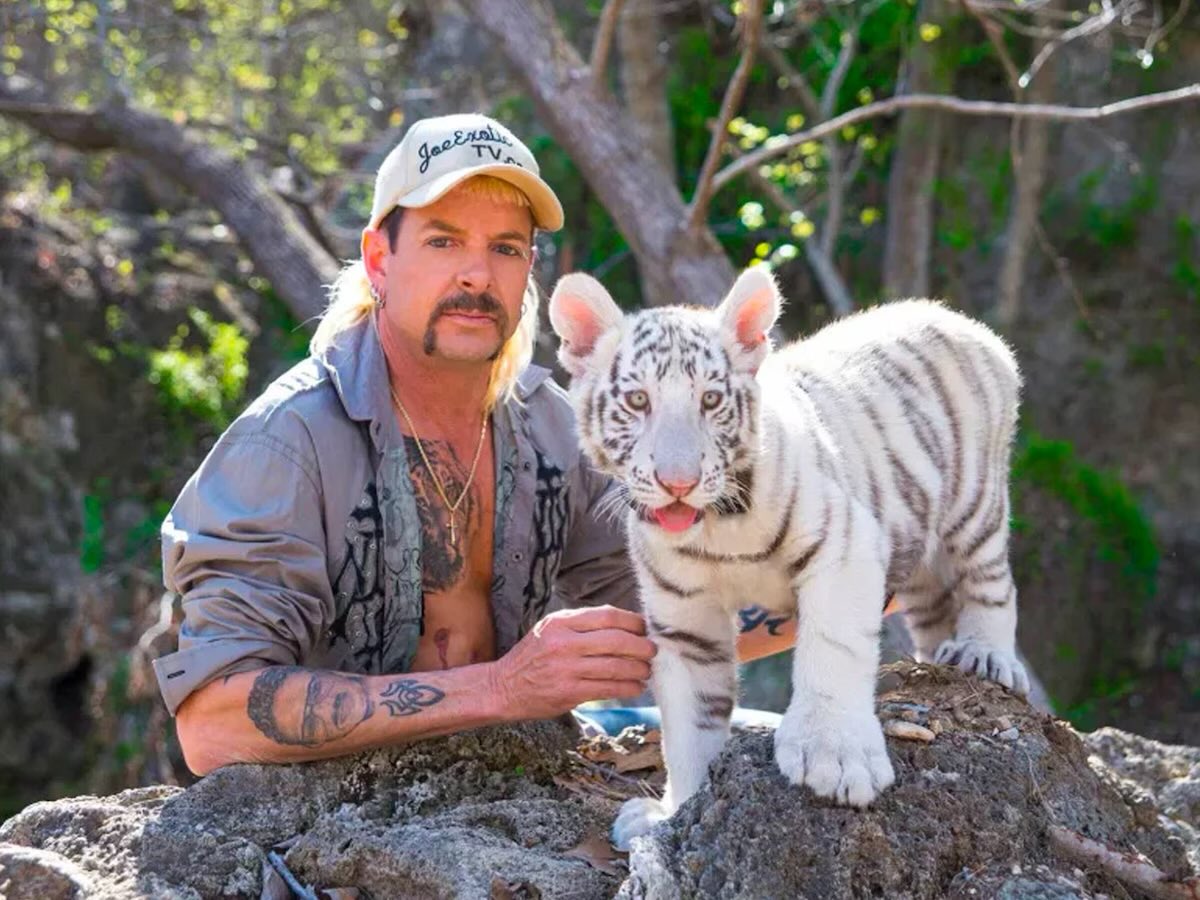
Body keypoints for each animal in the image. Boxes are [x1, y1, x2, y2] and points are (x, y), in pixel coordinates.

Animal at [548, 267, 1030, 850]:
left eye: (711, 399)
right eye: (638, 401)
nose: (678, 483)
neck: (718, 526)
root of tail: (955, 317)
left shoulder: (845, 547)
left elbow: (832, 651)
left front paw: (836, 759)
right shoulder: (684, 617)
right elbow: (690, 723)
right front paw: (678, 813)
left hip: (974, 503)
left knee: (992, 581)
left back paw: (987, 655)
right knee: (934, 608)